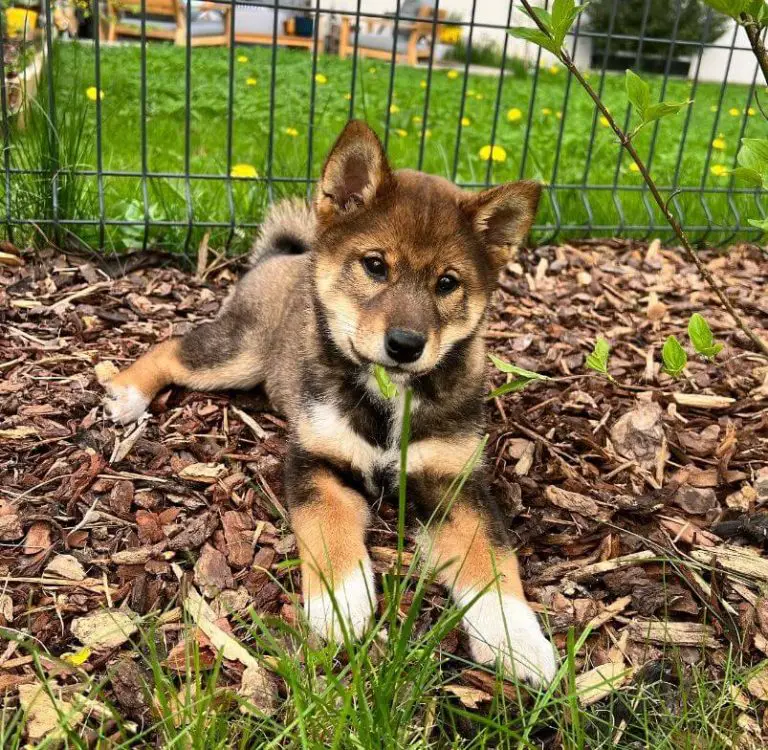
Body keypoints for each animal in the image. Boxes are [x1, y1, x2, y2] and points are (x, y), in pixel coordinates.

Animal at [103, 122, 560, 688]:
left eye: (448, 283)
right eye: (375, 266)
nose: (406, 344)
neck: (390, 395)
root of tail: (281, 256)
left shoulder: (456, 484)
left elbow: (492, 560)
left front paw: (517, 639)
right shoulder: (317, 462)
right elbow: (330, 533)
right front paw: (343, 604)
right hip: (236, 355)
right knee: (171, 347)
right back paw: (127, 393)